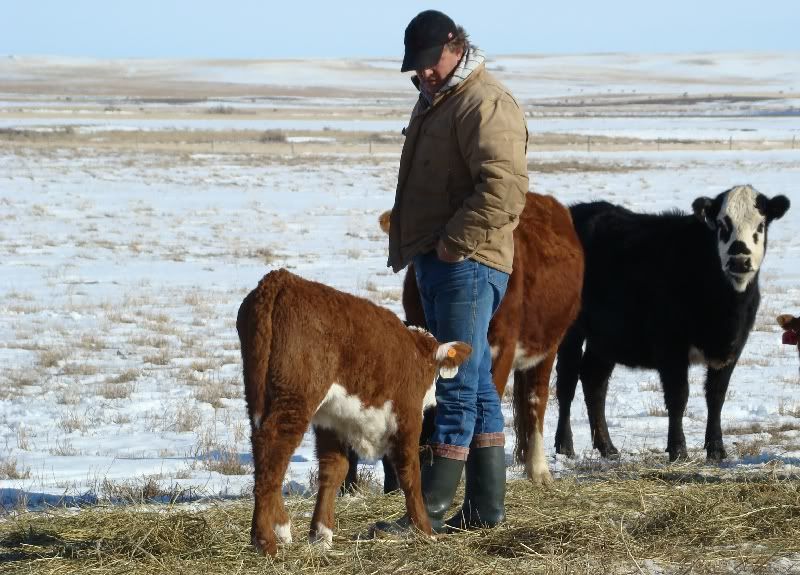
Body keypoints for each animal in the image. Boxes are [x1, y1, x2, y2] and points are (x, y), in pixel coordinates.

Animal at [237, 269, 471, 556]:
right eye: (432, 373)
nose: (431, 400)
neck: (413, 354)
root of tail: (281, 280)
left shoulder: (331, 419)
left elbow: (334, 469)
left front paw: (321, 535)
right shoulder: (407, 415)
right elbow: (410, 472)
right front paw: (425, 530)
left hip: (258, 394)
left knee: (263, 451)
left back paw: (281, 529)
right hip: (295, 399)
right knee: (273, 452)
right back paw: (264, 540)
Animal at [554, 185, 790, 462]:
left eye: (761, 224)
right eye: (722, 224)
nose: (739, 260)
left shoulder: (733, 347)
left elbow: (716, 396)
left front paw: (716, 449)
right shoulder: (670, 345)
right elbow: (679, 396)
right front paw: (678, 449)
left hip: (605, 338)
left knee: (594, 381)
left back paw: (607, 447)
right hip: (569, 330)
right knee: (567, 382)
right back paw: (565, 446)